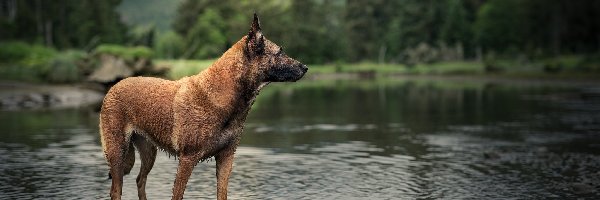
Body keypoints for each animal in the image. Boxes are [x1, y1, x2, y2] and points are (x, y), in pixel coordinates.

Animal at [98, 13, 308, 199]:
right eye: (280, 52)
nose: (305, 67)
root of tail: (114, 86)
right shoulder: (187, 160)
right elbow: (178, 195)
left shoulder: (226, 159)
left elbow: (222, 194)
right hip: (117, 153)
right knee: (116, 190)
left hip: (149, 153)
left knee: (140, 181)